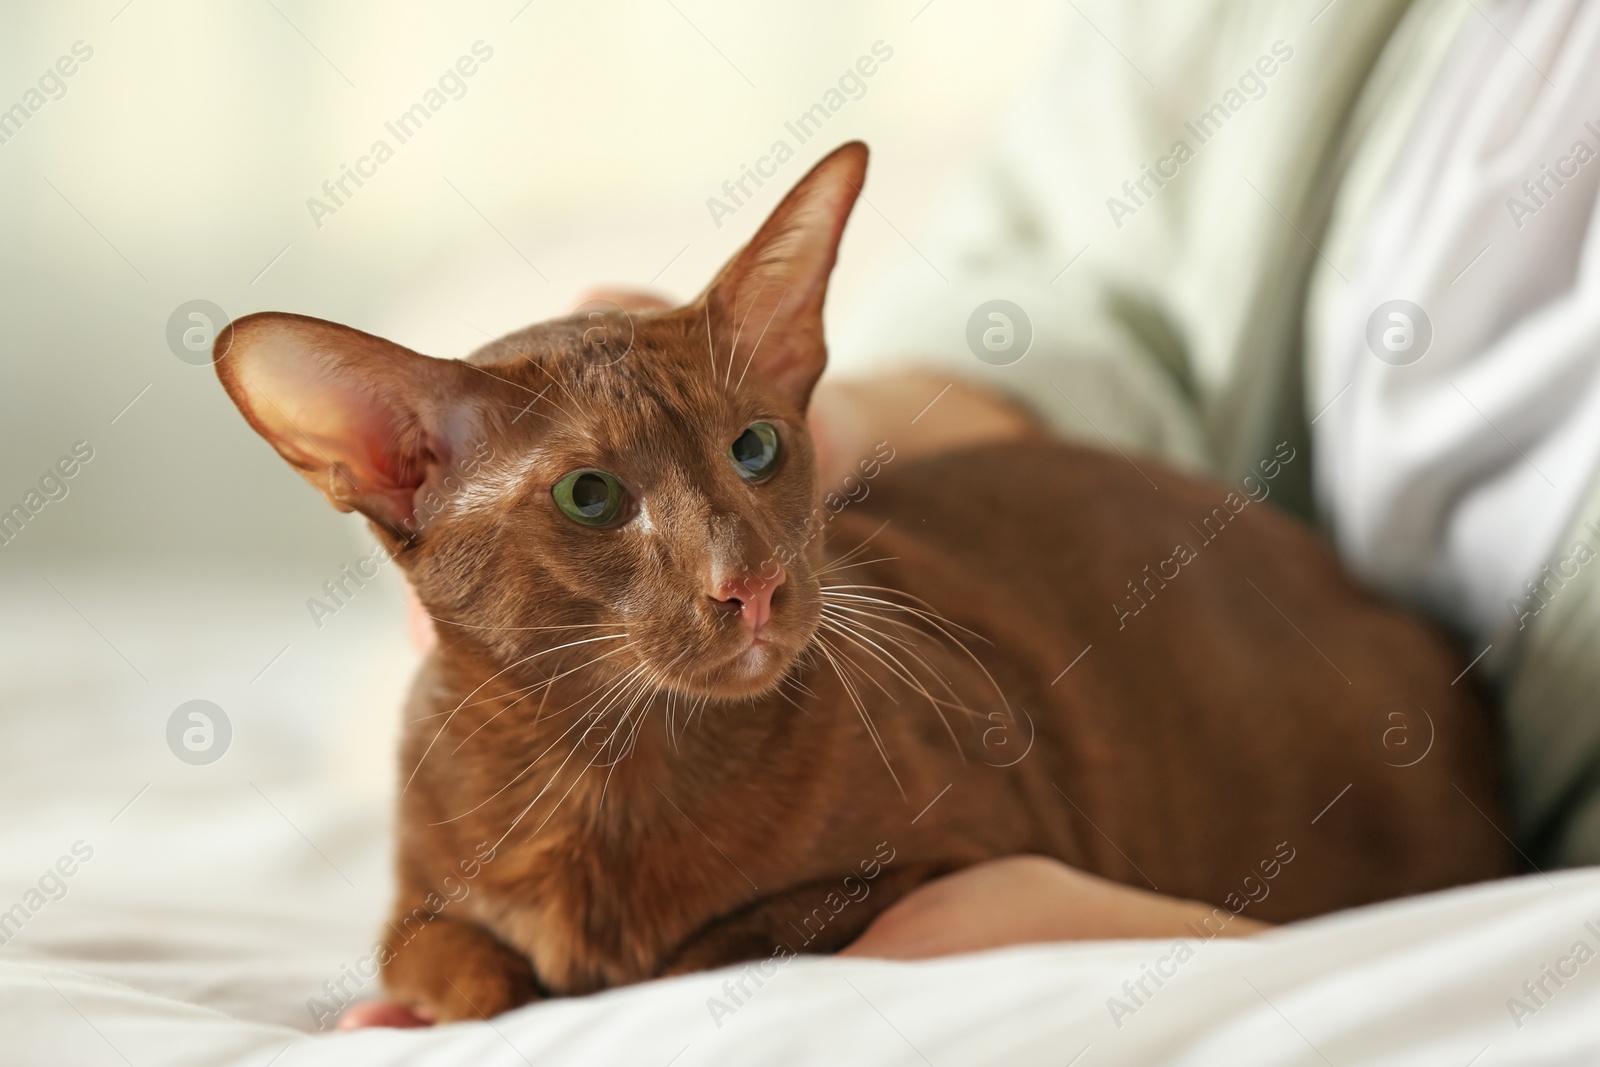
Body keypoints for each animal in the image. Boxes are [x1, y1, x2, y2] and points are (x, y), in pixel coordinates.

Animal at [212, 139, 1510, 1017]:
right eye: (590, 496)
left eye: (754, 448)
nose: (748, 583)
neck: (603, 774)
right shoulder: (418, 904)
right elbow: (455, 965)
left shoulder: (938, 855)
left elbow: (721, 945)